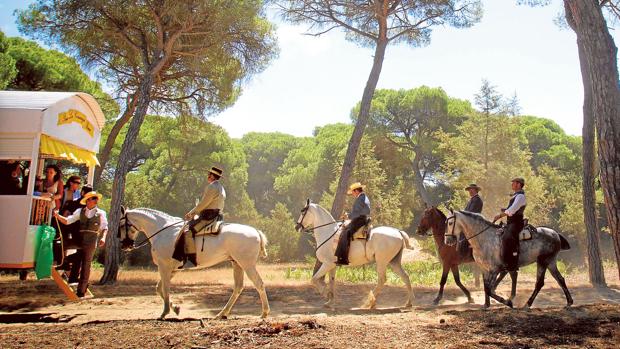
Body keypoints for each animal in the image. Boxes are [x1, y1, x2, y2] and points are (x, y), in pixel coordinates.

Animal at [117, 207, 270, 318]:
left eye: (121, 225)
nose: (124, 245)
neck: (163, 232)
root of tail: (255, 231)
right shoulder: (172, 269)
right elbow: (159, 288)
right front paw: (176, 308)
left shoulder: (164, 267)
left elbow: (165, 289)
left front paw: (165, 312)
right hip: (237, 264)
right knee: (238, 287)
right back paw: (222, 313)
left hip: (247, 265)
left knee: (259, 284)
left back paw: (264, 313)